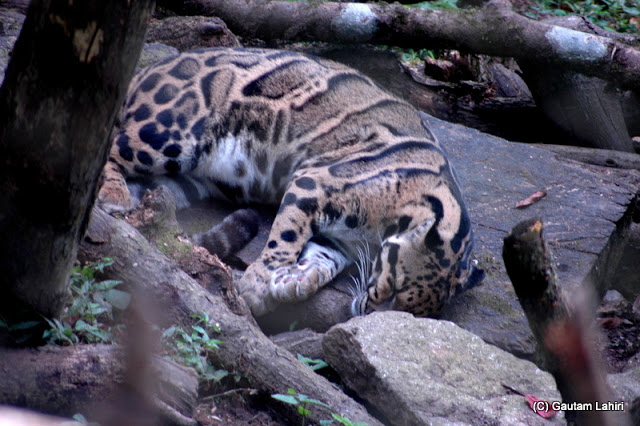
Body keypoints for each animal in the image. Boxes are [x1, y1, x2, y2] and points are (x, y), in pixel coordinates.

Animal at [98, 47, 484, 317]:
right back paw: (112, 192)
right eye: (394, 285)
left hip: (185, 180)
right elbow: (286, 236)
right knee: (112, 145)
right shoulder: (315, 183)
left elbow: (322, 260)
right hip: (171, 133)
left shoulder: (338, 240)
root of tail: (144, 70)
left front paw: (294, 282)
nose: (365, 312)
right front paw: (258, 284)